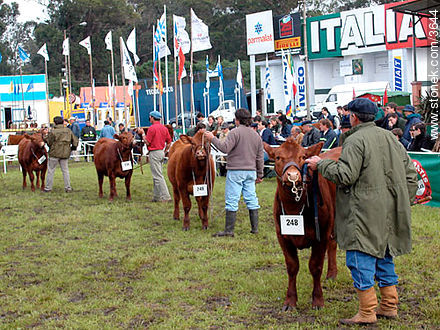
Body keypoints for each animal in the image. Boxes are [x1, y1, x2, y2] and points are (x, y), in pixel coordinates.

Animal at [262, 138, 342, 310]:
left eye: (303, 156)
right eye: (278, 157)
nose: (293, 175)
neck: (294, 208)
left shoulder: (321, 234)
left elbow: (315, 266)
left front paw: (318, 300)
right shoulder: (282, 236)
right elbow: (292, 267)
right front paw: (290, 301)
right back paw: (331, 274)